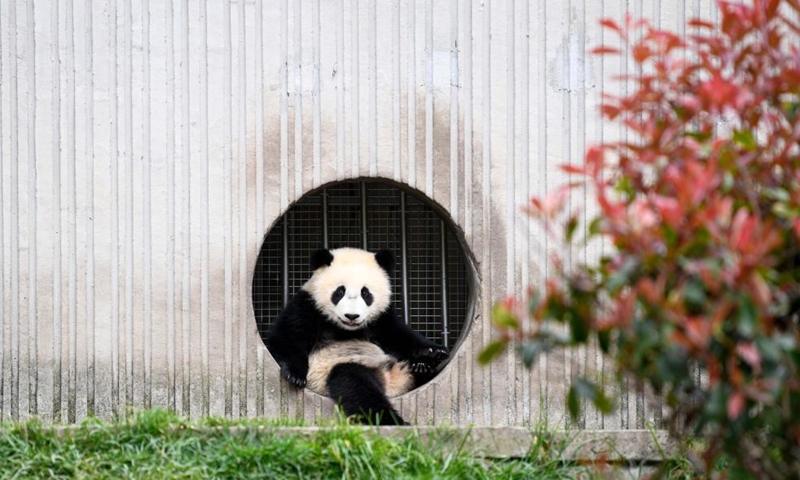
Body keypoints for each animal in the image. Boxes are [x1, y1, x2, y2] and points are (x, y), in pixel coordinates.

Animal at [267, 247, 449, 425]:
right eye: (340, 291)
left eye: (365, 293)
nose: (352, 316)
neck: (346, 329)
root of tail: (391, 381)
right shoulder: (308, 306)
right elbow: (286, 337)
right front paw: (296, 375)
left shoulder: (381, 318)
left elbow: (400, 336)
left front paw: (434, 351)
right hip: (337, 369)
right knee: (358, 388)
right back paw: (392, 420)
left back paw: (422, 367)